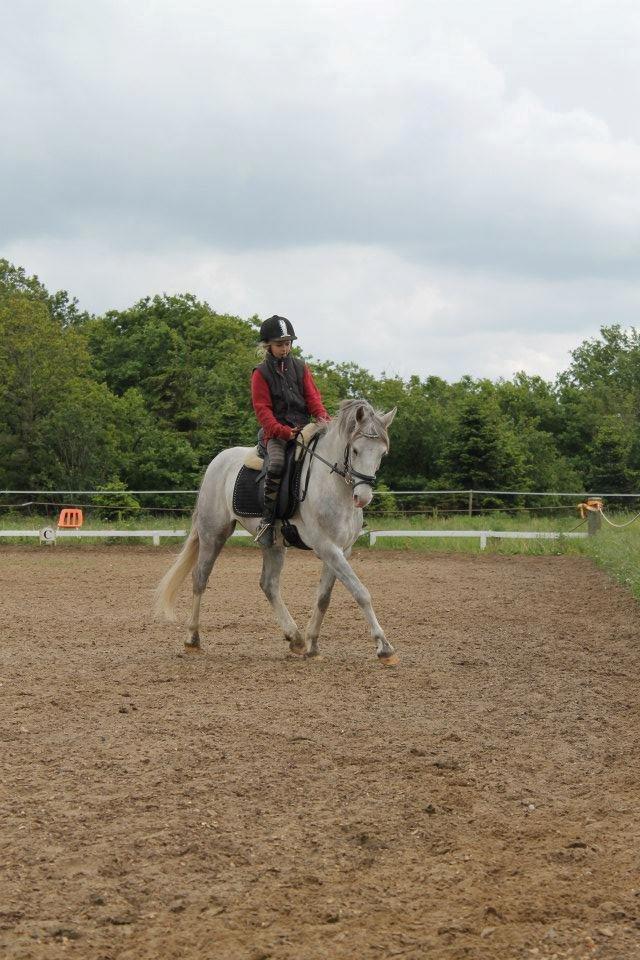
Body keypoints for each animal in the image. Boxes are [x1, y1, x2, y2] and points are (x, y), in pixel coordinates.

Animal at [154, 399, 398, 665]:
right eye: (354, 450)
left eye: (382, 453)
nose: (362, 497)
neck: (332, 487)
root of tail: (218, 461)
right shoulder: (327, 547)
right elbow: (361, 592)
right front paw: (384, 648)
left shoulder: (342, 549)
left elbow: (323, 597)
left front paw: (313, 645)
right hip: (213, 534)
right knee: (200, 578)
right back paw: (192, 638)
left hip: (273, 544)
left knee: (268, 584)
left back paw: (296, 638)